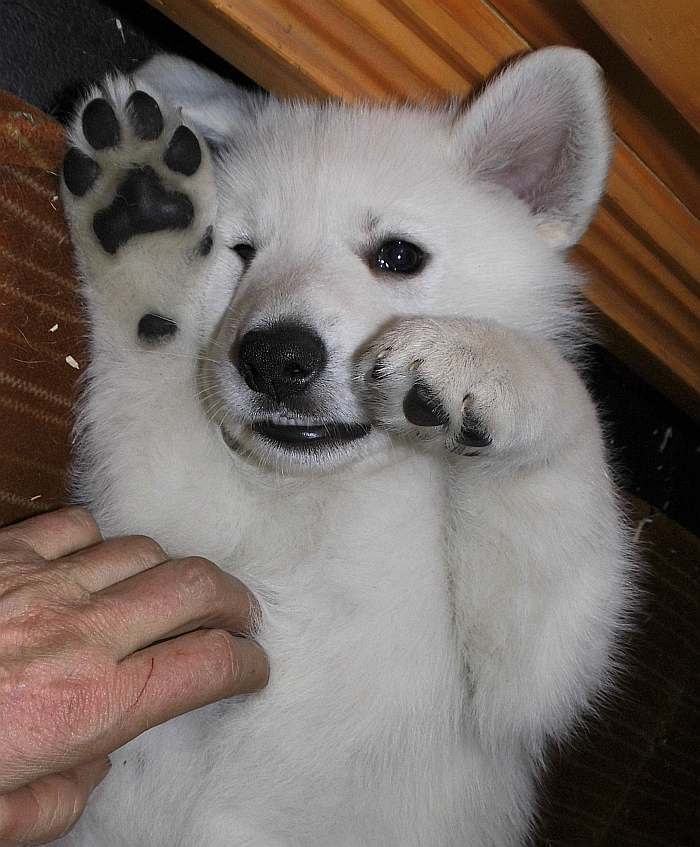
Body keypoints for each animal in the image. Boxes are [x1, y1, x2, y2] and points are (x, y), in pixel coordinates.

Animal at [57, 48, 636, 847]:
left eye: (397, 254)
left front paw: (485, 362)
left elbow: (570, 422)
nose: (273, 359)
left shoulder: (520, 683)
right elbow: (148, 378)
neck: (336, 496)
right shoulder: (171, 534)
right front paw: (146, 235)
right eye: (241, 252)